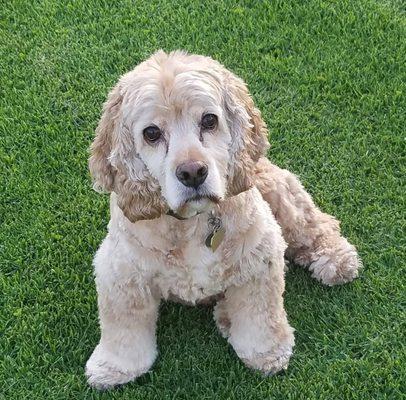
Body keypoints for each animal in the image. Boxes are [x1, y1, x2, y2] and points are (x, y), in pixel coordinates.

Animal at [85, 49, 362, 388]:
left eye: (209, 120)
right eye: (151, 133)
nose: (193, 172)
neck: (191, 224)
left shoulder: (260, 256)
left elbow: (260, 315)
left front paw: (267, 353)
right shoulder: (121, 272)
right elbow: (123, 327)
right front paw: (113, 367)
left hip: (275, 189)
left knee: (312, 222)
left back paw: (336, 258)